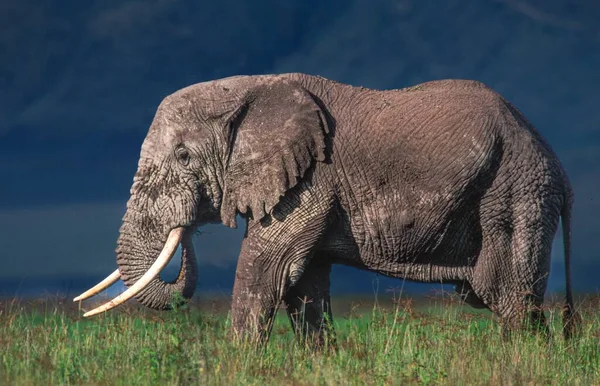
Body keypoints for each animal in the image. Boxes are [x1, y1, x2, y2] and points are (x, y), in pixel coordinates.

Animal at [74, 73, 576, 346]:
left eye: (182, 156)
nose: (190, 226)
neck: (251, 88)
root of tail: (559, 168)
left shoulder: (312, 177)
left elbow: (267, 269)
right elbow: (305, 286)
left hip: (514, 193)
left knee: (510, 297)